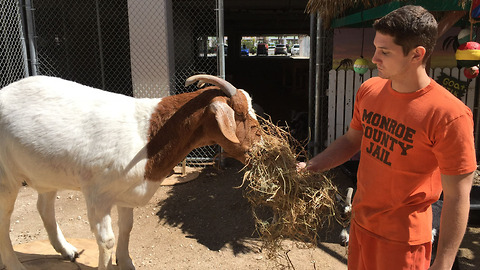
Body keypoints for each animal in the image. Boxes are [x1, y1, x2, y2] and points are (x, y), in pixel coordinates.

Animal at [0, 74, 260, 270]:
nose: (262, 148)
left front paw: (126, 263)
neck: (148, 135)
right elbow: (106, 241)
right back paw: (15, 265)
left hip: (45, 174)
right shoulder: (97, 195)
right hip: (6, 179)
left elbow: (126, 228)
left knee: (44, 207)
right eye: (242, 115)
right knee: (5, 219)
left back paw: (67, 251)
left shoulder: (125, 193)